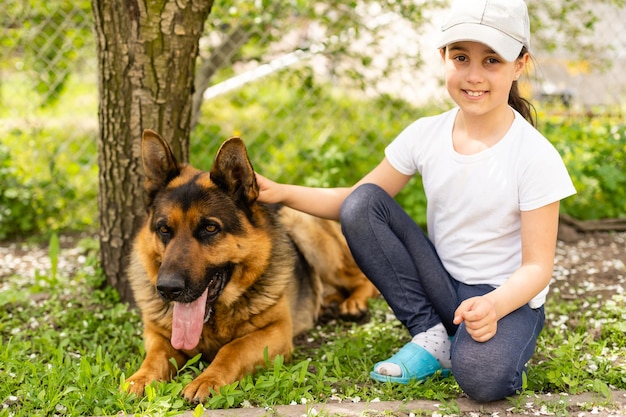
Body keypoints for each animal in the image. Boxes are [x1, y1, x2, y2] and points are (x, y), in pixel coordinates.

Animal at [123, 129, 376, 400]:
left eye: (210, 228)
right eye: (163, 229)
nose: (168, 289)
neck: (214, 321)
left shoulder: (276, 332)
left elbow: (233, 348)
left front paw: (208, 379)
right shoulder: (158, 335)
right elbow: (154, 357)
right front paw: (140, 379)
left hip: (308, 232)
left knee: (362, 279)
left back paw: (353, 303)